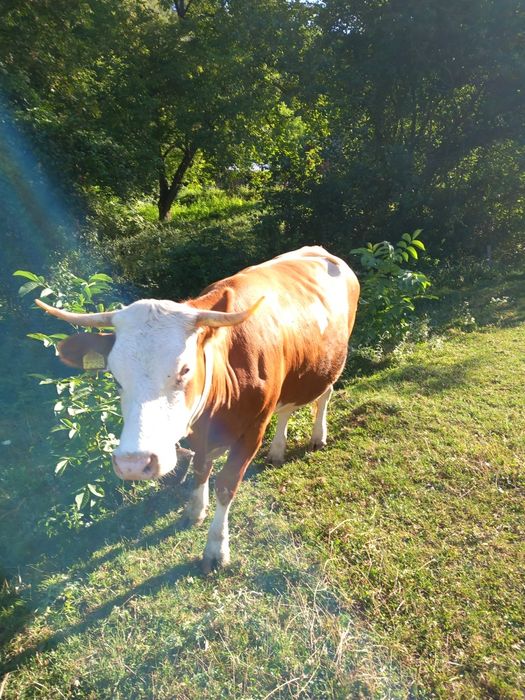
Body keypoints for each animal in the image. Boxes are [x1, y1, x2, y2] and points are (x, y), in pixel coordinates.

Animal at [36, 246, 360, 572]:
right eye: (114, 375)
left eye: (185, 369)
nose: (134, 464)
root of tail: (319, 250)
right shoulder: (196, 429)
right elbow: (201, 467)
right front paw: (195, 510)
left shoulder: (254, 428)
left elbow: (226, 484)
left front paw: (216, 547)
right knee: (287, 409)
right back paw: (278, 449)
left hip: (333, 361)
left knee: (324, 395)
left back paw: (318, 436)